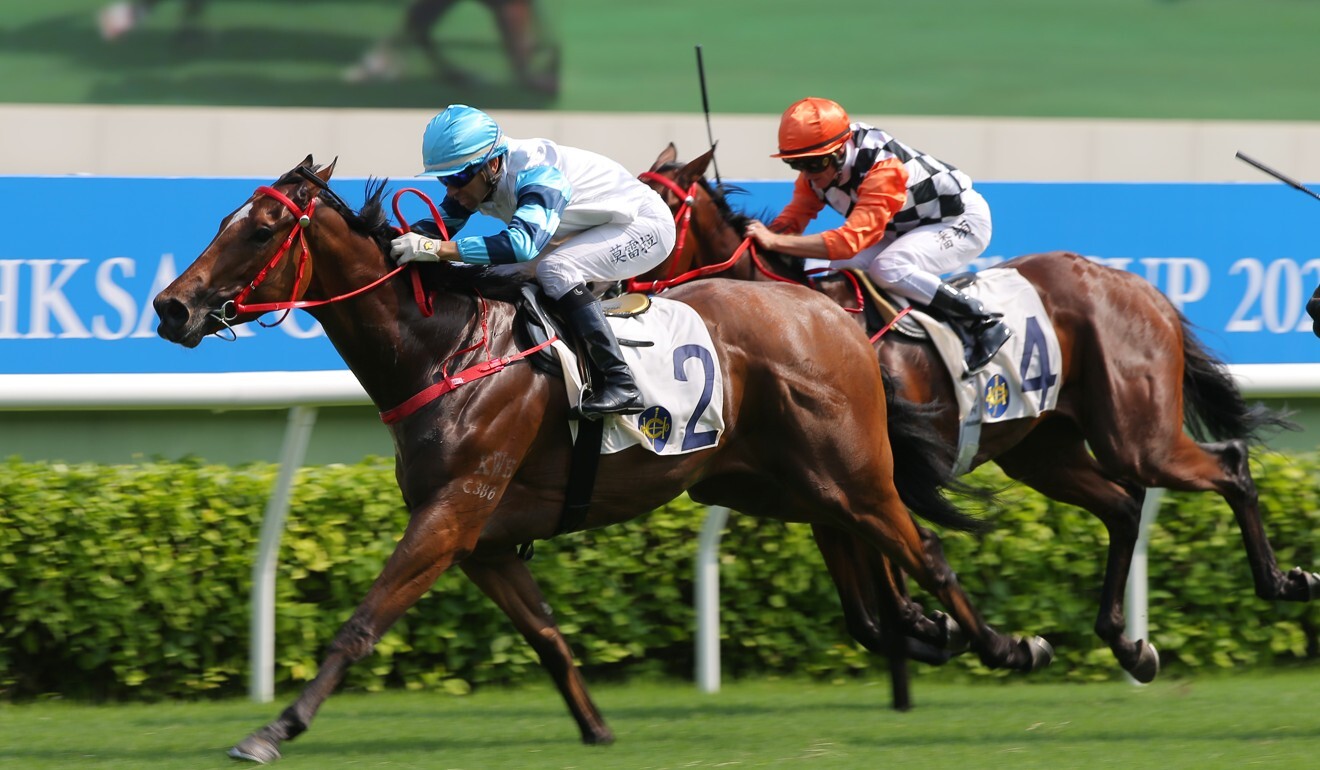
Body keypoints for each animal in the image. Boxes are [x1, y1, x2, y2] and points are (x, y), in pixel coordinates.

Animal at [149, 158, 1050, 766]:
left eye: (261, 230)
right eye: (226, 219)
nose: (170, 307)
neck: (443, 349)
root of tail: (825, 311)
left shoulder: (452, 514)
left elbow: (362, 622)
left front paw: (274, 728)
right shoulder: (482, 539)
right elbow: (547, 633)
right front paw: (597, 727)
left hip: (852, 474)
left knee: (926, 551)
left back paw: (1007, 646)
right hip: (779, 484)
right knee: (873, 585)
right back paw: (925, 632)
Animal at [641, 145, 1320, 686]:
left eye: (653, 208)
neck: (790, 323)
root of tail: (1136, 285)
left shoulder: (870, 478)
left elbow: (892, 582)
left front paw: (945, 627)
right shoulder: (829, 489)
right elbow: (867, 615)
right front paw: (937, 627)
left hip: (1137, 434)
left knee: (1226, 464)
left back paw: (1284, 581)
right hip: (1042, 450)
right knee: (1125, 506)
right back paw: (1128, 644)